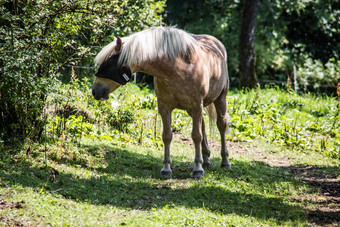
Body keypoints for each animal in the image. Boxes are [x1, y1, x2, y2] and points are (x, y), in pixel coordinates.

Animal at [91, 27, 231, 179]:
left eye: (108, 64)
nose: (95, 91)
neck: (180, 68)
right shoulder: (165, 107)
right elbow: (167, 136)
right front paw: (166, 169)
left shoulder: (196, 106)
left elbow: (196, 136)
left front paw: (197, 169)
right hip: (192, 109)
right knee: (204, 126)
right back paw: (206, 159)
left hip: (219, 99)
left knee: (221, 126)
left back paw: (225, 161)